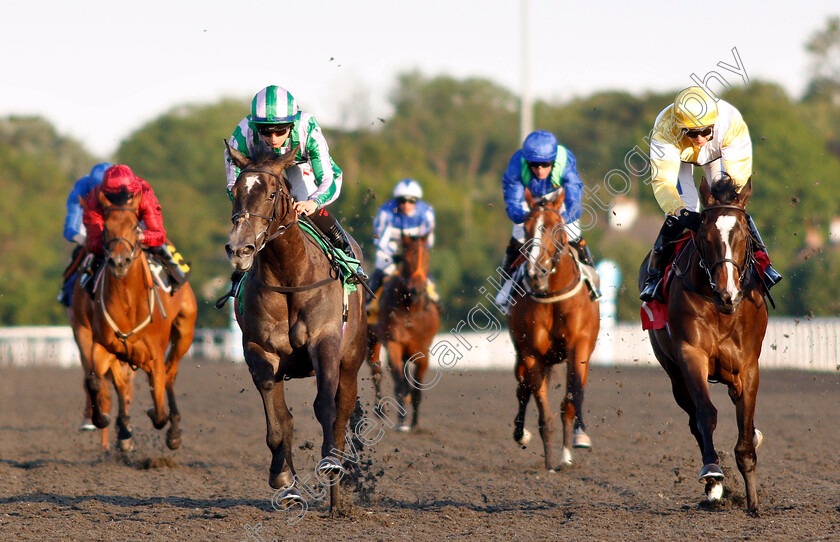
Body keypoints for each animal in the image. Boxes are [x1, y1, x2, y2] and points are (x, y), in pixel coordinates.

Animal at [69, 192, 198, 454]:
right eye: (106, 226)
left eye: (133, 226)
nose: (119, 262)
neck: (129, 304)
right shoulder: (101, 345)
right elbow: (94, 380)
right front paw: (102, 419)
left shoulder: (155, 355)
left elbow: (158, 411)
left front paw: (156, 418)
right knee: (122, 384)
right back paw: (123, 432)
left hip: (184, 333)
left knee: (170, 375)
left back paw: (173, 432)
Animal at [225, 141, 366, 516]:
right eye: (235, 191)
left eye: (273, 193)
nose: (240, 248)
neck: (290, 276)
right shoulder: (260, 351)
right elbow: (279, 422)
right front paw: (283, 479)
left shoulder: (325, 342)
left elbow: (326, 406)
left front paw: (331, 463)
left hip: (352, 361)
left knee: (342, 416)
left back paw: (336, 502)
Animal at [372, 234, 442, 434]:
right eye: (405, 256)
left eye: (427, 257)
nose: (417, 290)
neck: (411, 310)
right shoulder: (393, 344)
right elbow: (400, 385)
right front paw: (402, 421)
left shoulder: (423, 350)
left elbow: (417, 389)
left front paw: (415, 423)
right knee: (375, 369)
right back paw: (380, 410)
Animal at [508, 190, 600, 472]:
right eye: (527, 227)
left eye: (553, 226)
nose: (535, 273)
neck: (551, 297)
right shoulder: (531, 354)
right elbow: (543, 413)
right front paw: (549, 464)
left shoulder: (578, 347)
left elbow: (572, 397)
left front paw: (571, 450)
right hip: (522, 358)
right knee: (522, 389)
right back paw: (520, 433)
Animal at [636, 180, 768, 520]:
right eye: (705, 237)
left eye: (744, 236)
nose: (727, 294)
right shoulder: (691, 355)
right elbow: (706, 414)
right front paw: (712, 473)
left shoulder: (748, 366)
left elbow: (745, 431)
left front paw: (753, 502)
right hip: (674, 375)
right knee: (694, 417)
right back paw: (713, 489)